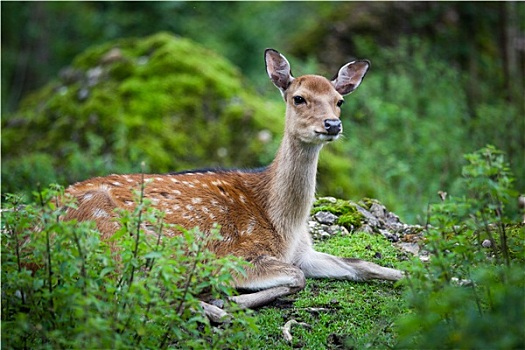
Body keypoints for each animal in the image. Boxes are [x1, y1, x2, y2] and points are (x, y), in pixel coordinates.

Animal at [63, 48, 404, 314]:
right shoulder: (233, 255)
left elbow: (363, 265)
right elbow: (297, 276)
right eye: (299, 98)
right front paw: (227, 299)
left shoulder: (304, 252)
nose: (332, 124)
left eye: (339, 100)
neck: (285, 224)